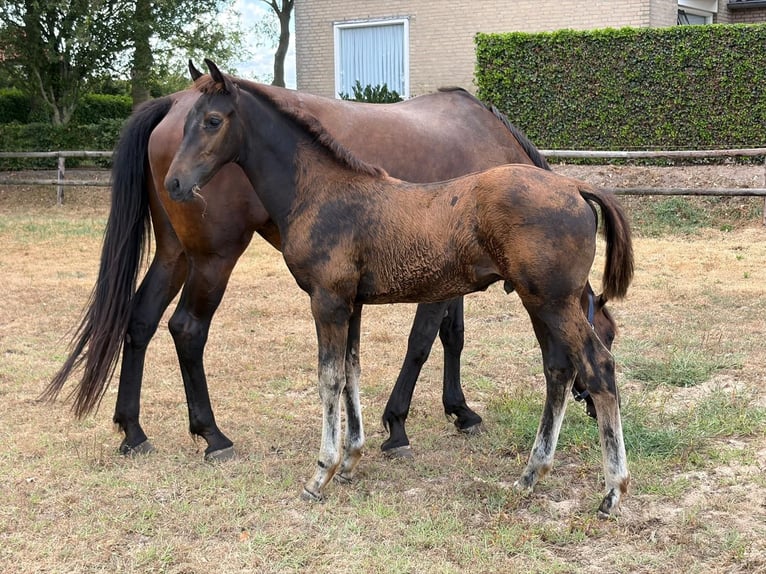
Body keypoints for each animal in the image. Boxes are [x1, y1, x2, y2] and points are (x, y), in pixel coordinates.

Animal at [42, 65, 612, 464]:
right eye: (611, 332)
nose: (592, 403)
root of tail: (167, 104)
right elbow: (423, 342)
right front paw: (397, 425)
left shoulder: (448, 276)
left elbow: (452, 337)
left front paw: (459, 410)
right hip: (212, 259)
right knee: (187, 329)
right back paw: (212, 435)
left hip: (175, 254)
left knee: (139, 322)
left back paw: (132, 430)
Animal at [164, 60, 634, 516]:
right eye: (184, 122)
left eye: (212, 120)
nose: (174, 183)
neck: (320, 190)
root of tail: (575, 186)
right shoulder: (350, 303)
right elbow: (352, 372)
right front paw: (351, 460)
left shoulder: (328, 301)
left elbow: (331, 377)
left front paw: (322, 473)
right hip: (540, 302)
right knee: (559, 370)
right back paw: (531, 476)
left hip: (552, 302)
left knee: (596, 368)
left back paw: (612, 491)